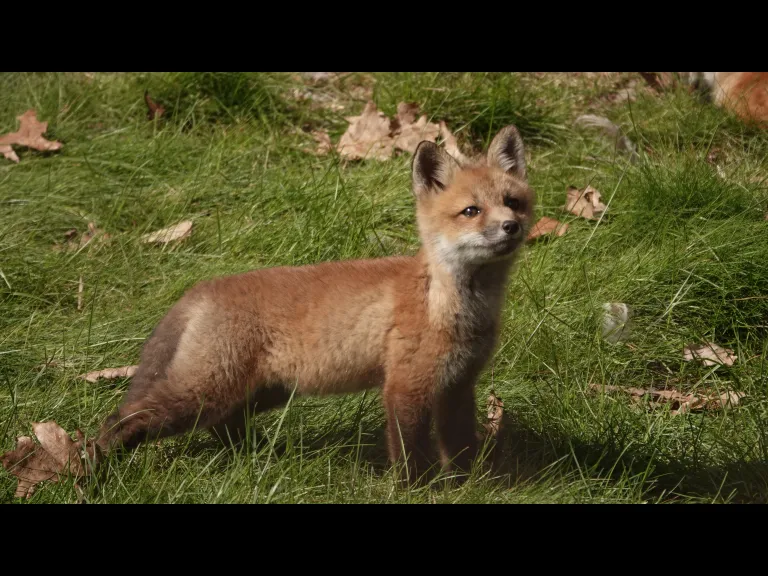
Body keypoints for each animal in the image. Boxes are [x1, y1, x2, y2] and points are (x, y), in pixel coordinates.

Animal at [96, 125, 535, 479]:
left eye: (512, 202)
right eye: (471, 211)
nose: (510, 227)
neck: (454, 307)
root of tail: (200, 289)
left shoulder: (458, 385)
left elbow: (461, 449)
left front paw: (469, 485)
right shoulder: (405, 386)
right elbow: (410, 453)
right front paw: (417, 490)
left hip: (265, 390)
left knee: (222, 425)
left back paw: (256, 456)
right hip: (204, 391)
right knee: (123, 420)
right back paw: (92, 469)